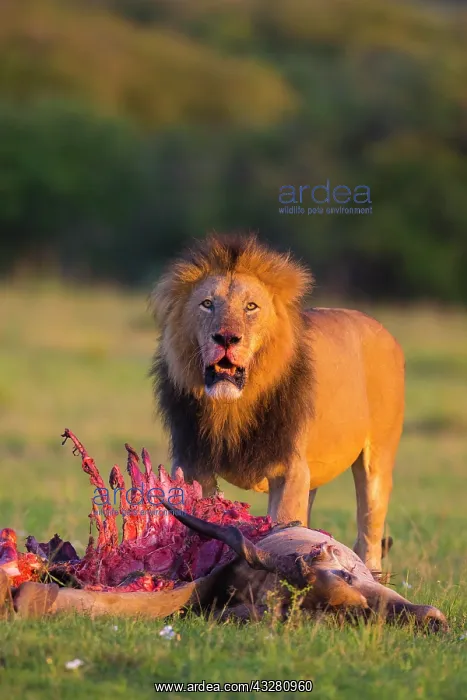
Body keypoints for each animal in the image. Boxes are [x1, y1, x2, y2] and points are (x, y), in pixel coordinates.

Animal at [151, 234, 405, 574]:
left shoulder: (289, 469)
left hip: (377, 461)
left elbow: (285, 528)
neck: (233, 407)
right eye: (207, 304)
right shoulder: (192, 464)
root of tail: (381, 328)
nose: (226, 338)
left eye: (251, 307)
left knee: (369, 531)